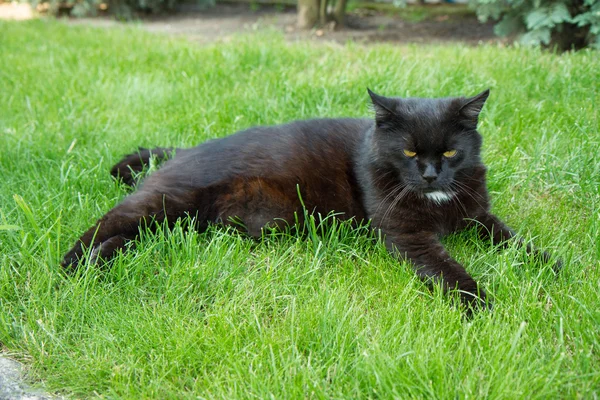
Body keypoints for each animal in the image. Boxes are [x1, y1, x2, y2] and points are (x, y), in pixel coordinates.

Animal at [63, 89, 560, 310]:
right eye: (409, 152)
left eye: (452, 152)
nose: (431, 173)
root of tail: (188, 149)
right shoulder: (408, 237)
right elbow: (446, 269)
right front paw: (479, 303)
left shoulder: (479, 216)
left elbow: (512, 239)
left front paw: (549, 265)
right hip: (169, 199)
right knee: (109, 221)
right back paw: (72, 270)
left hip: (182, 221)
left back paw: (103, 260)